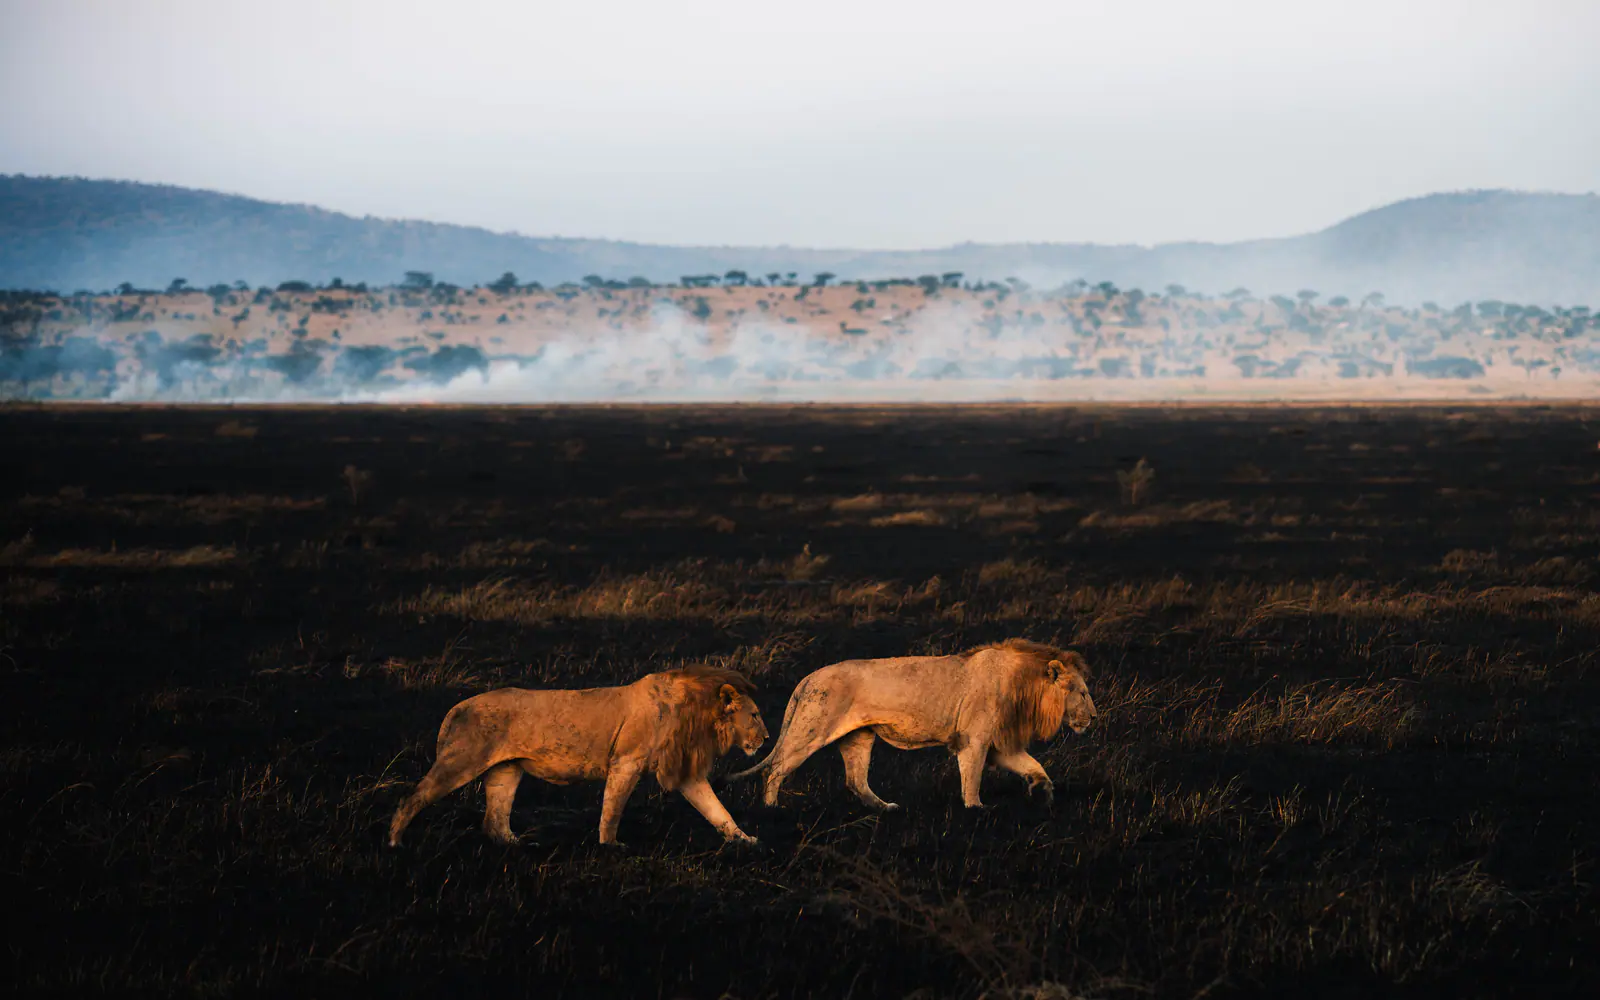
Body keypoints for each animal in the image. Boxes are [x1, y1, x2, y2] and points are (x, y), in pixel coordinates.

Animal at [388, 667, 768, 847]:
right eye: (754, 715)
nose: (765, 739)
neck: (698, 713)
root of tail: (458, 706)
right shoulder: (626, 761)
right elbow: (612, 808)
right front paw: (610, 845)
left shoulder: (686, 772)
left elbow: (717, 810)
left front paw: (745, 840)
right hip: (461, 761)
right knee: (412, 798)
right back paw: (395, 842)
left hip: (505, 771)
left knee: (494, 819)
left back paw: (517, 844)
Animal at [727, 639, 1095, 810]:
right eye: (1082, 692)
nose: (1093, 717)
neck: (1025, 686)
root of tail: (808, 678)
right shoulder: (973, 739)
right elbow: (972, 778)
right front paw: (976, 808)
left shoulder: (996, 745)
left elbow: (1035, 766)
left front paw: (1043, 792)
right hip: (811, 729)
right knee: (773, 768)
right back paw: (772, 808)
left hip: (858, 737)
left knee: (856, 780)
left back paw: (886, 808)